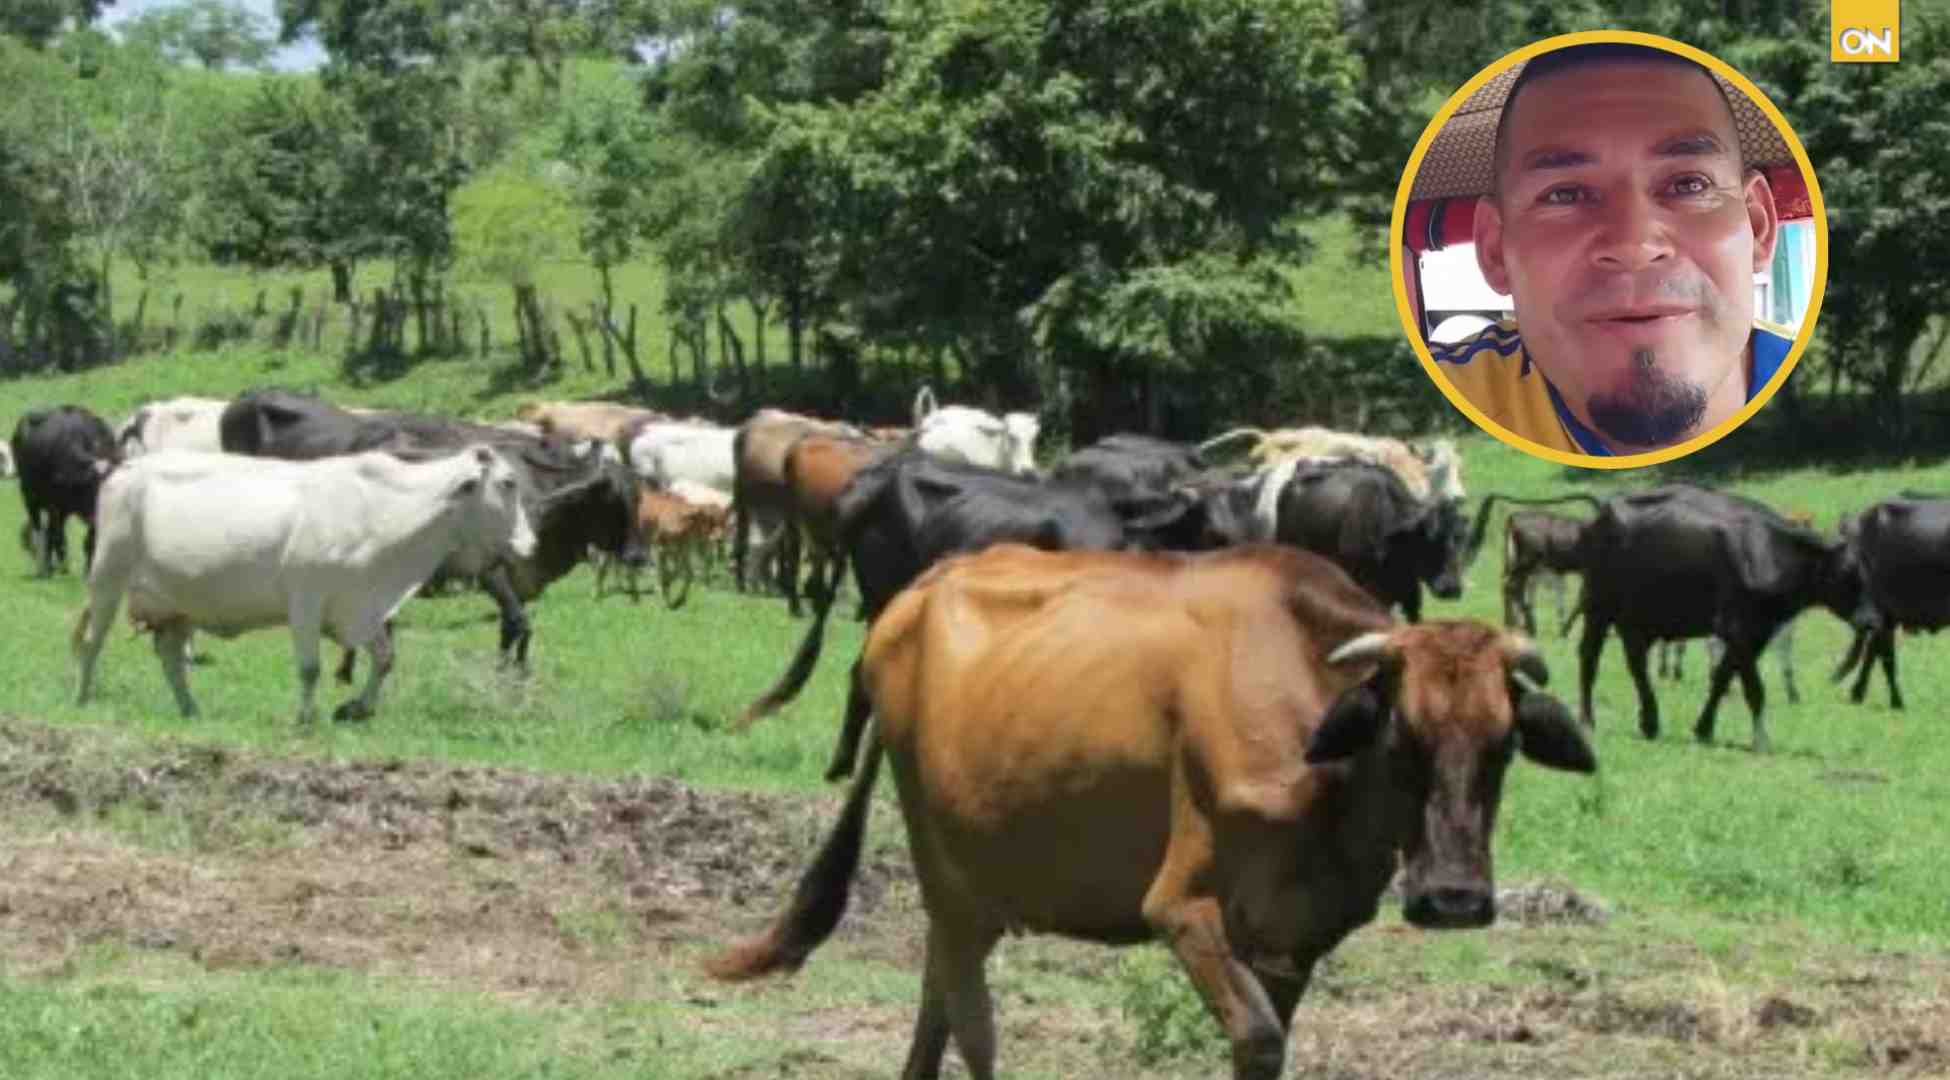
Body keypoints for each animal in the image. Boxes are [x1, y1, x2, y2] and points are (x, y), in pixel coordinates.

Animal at [12, 405, 120, 577]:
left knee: (50, 532)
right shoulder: (55, 505)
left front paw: (87, 568)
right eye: (95, 485)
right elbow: (58, 536)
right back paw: (46, 567)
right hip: (29, 496)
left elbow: (88, 540)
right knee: (40, 530)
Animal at [73, 445, 536, 724]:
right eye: (508, 483)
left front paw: (357, 708)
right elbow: (310, 668)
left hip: (177, 605)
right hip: (107, 578)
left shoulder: (357, 607)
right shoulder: (306, 601)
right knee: (93, 642)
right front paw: (305, 718)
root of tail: (126, 467)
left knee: (170, 658)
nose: (530, 543)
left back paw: (190, 709)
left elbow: (385, 658)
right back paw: (82, 697)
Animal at [706, 543, 1594, 1080]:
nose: (1454, 900)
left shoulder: (1292, 939)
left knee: (937, 1000)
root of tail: (912, 596)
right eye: (1402, 735)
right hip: (944, 866)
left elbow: (1269, 1041)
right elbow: (1257, 1035)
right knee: (971, 1018)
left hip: (975, 886)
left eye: (1504, 743)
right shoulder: (1181, 907)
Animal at [1568, 485, 1857, 753]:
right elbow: (1754, 688)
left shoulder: (1755, 634)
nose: (1868, 618)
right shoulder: (1738, 631)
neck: (1771, 552)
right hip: (1598, 609)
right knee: (1590, 659)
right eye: (1848, 571)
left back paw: (1650, 722)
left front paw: (1704, 729)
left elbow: (1722, 678)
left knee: (1637, 665)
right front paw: (1761, 741)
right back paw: (1588, 721)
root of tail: (1604, 508)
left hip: (1637, 621)